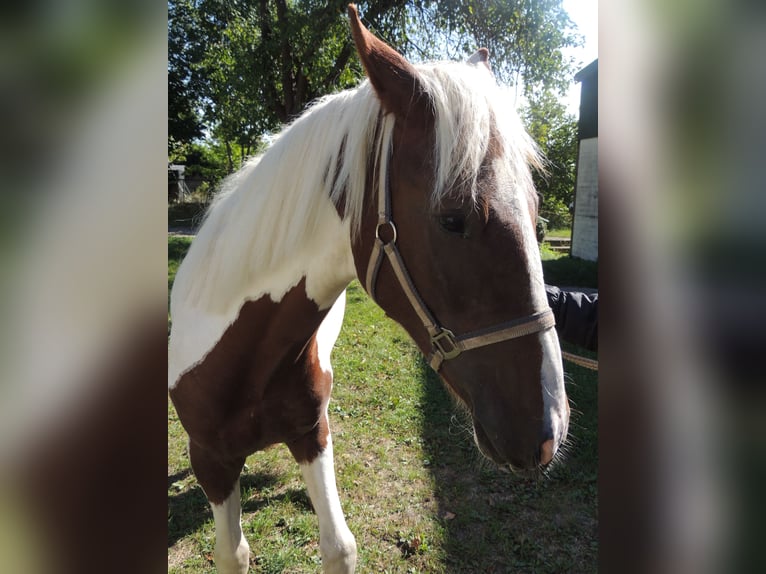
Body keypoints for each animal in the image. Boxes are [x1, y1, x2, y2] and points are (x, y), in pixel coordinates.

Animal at [172, 5, 568, 574]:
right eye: (453, 220)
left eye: (538, 217)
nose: (546, 433)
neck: (240, 358)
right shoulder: (210, 460)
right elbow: (233, 553)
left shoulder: (311, 434)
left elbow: (339, 547)